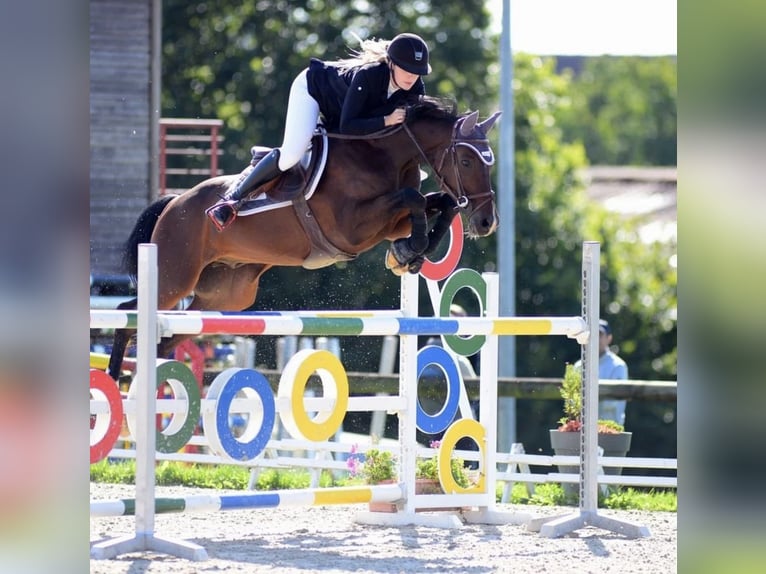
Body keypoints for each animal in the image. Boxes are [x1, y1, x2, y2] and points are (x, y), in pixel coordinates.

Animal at [108, 97, 504, 380]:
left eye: (490, 162)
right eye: (466, 161)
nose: (487, 222)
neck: (380, 156)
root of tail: (175, 201)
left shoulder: (389, 222)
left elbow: (440, 203)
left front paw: (409, 252)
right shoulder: (352, 227)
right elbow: (416, 198)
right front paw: (408, 251)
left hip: (225, 296)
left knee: (166, 338)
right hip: (174, 276)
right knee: (127, 312)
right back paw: (113, 383)